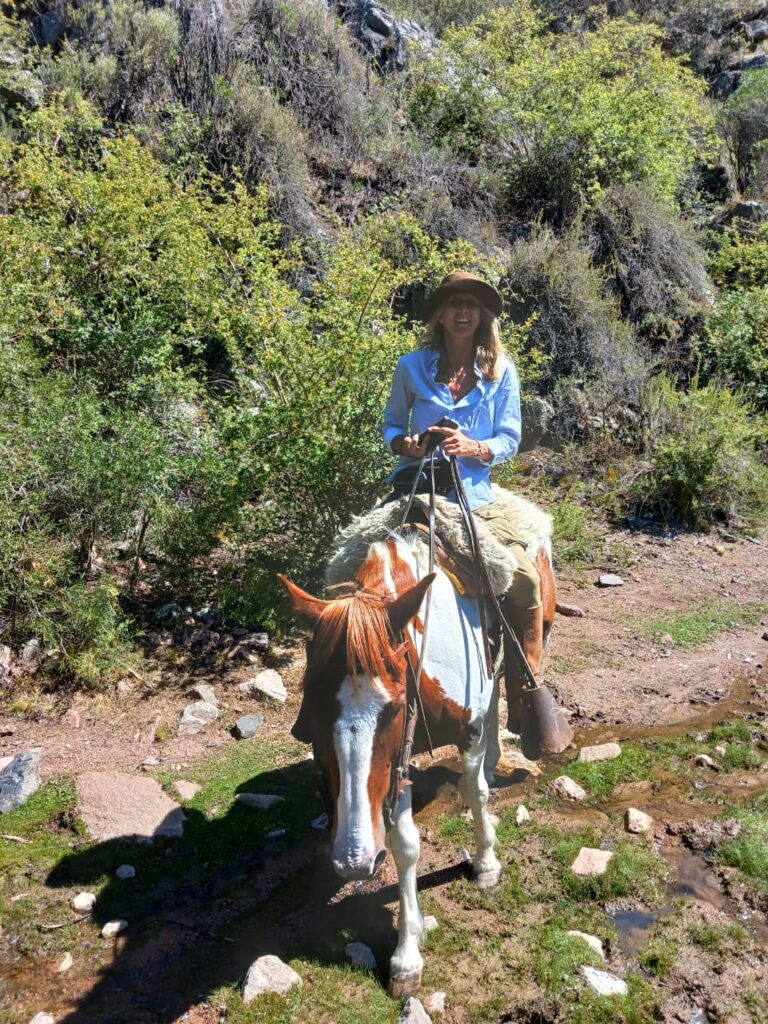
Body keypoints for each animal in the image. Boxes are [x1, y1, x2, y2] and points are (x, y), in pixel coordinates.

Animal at [280, 520, 557, 991]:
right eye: (312, 708)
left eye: (391, 707)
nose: (353, 861)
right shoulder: (397, 761)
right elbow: (404, 843)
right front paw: (407, 955)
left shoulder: (466, 731)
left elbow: (474, 791)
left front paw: (486, 862)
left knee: (499, 691)